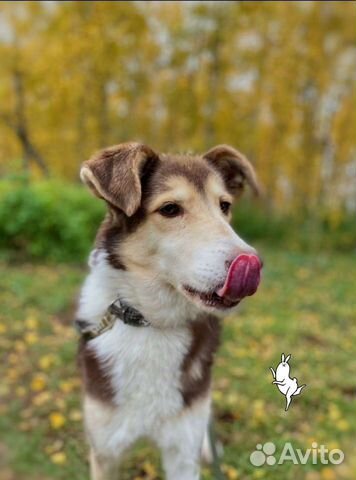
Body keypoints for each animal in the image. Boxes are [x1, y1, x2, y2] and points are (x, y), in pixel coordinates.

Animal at [76, 142, 262, 480]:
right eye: (170, 209)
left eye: (224, 206)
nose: (253, 263)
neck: (151, 322)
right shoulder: (105, 451)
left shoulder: (182, 451)